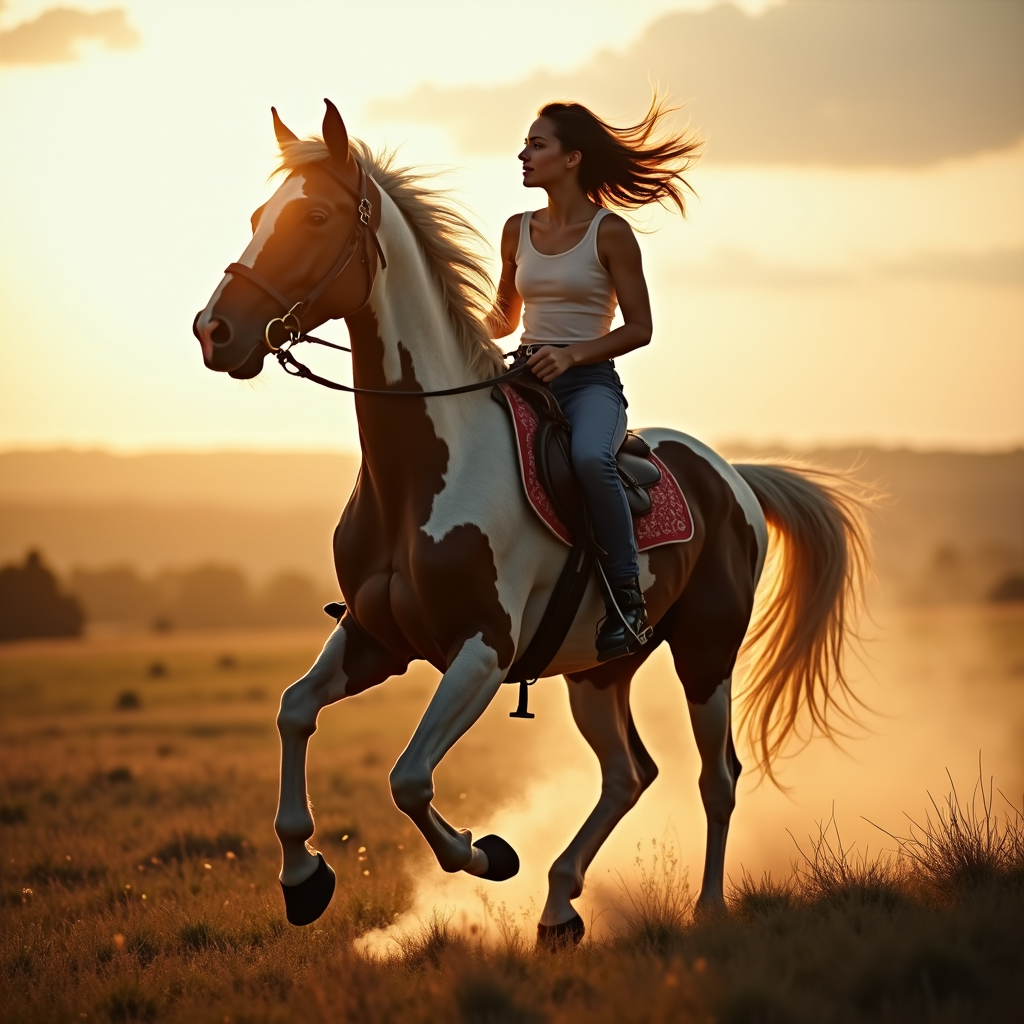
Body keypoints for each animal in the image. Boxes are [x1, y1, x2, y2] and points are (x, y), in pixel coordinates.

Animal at [193, 100, 869, 942]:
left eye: (314, 216)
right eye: (259, 215)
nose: (214, 331)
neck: (423, 470)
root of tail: (734, 478)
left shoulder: (482, 652)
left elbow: (409, 778)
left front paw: (488, 853)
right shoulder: (376, 637)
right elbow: (293, 713)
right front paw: (304, 878)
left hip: (706, 654)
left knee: (717, 776)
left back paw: (705, 907)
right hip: (598, 672)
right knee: (628, 774)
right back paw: (558, 905)